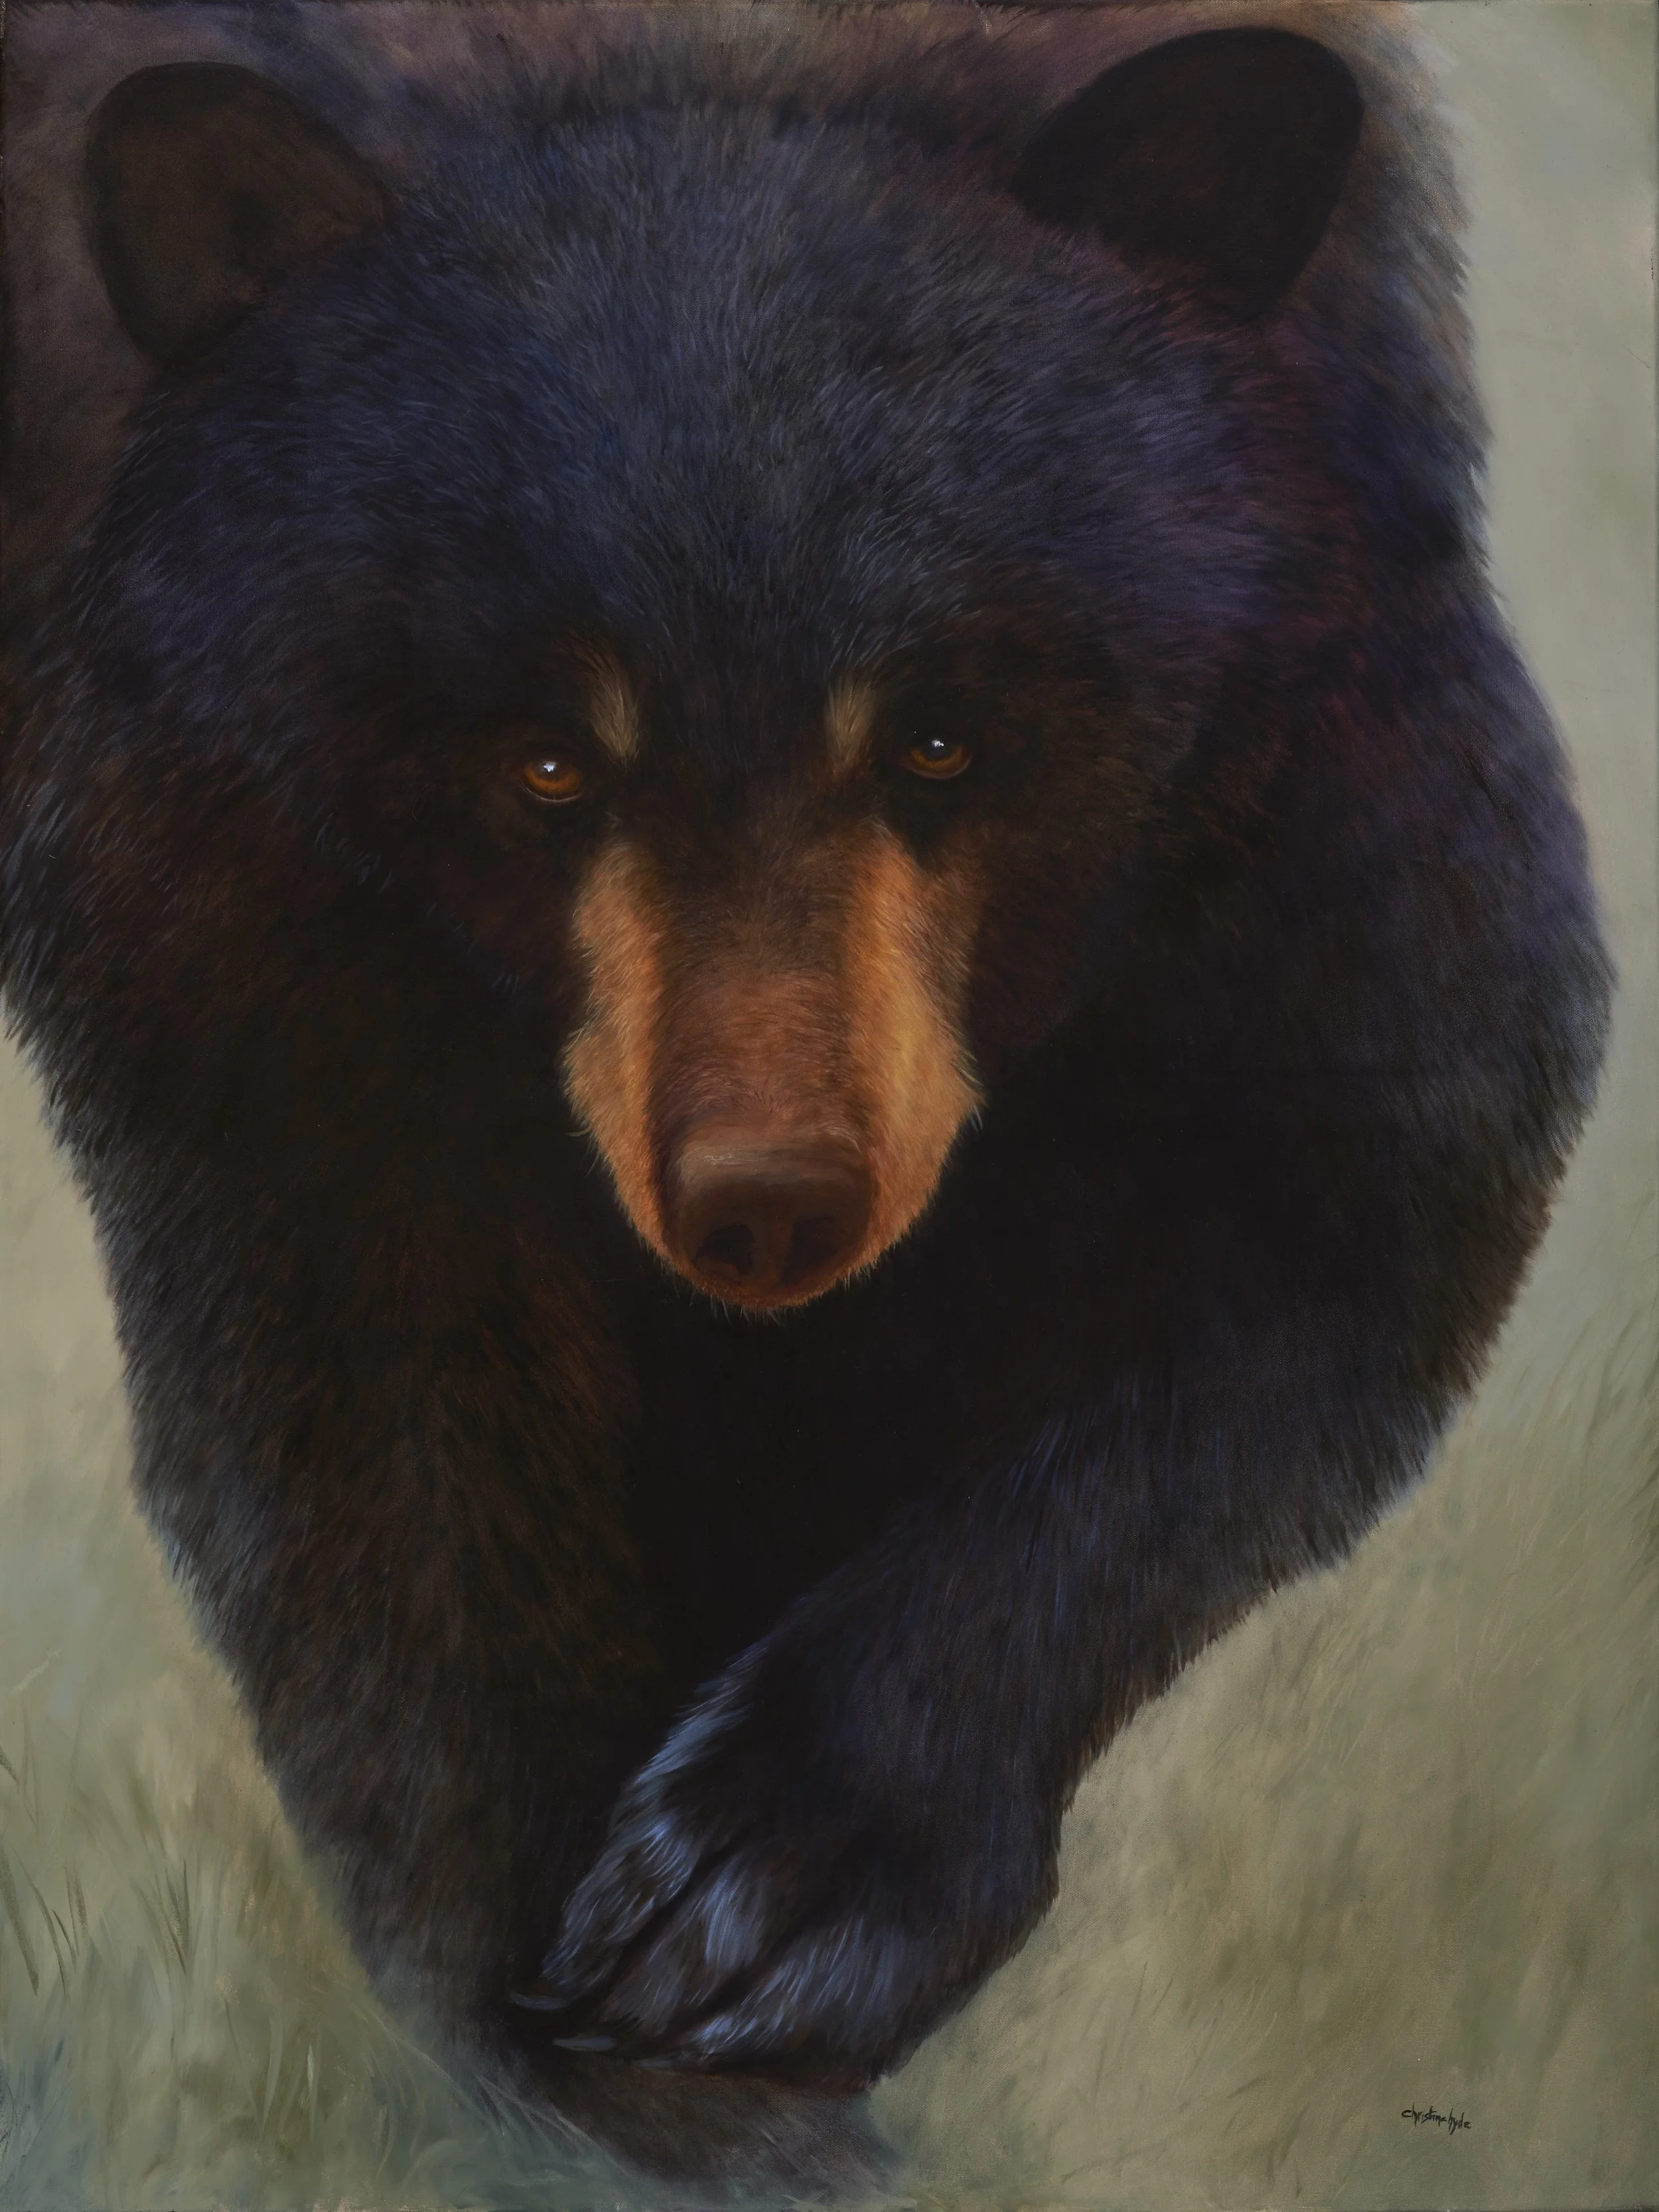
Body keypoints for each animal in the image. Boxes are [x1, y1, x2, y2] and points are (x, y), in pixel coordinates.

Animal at [0, 2, 1611, 2193]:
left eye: (935, 737)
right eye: (544, 762)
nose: (768, 1196)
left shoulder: (1318, 733)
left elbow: (1344, 1225)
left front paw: (771, 1877)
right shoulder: (228, 878)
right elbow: (367, 1433)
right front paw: (641, 2055)